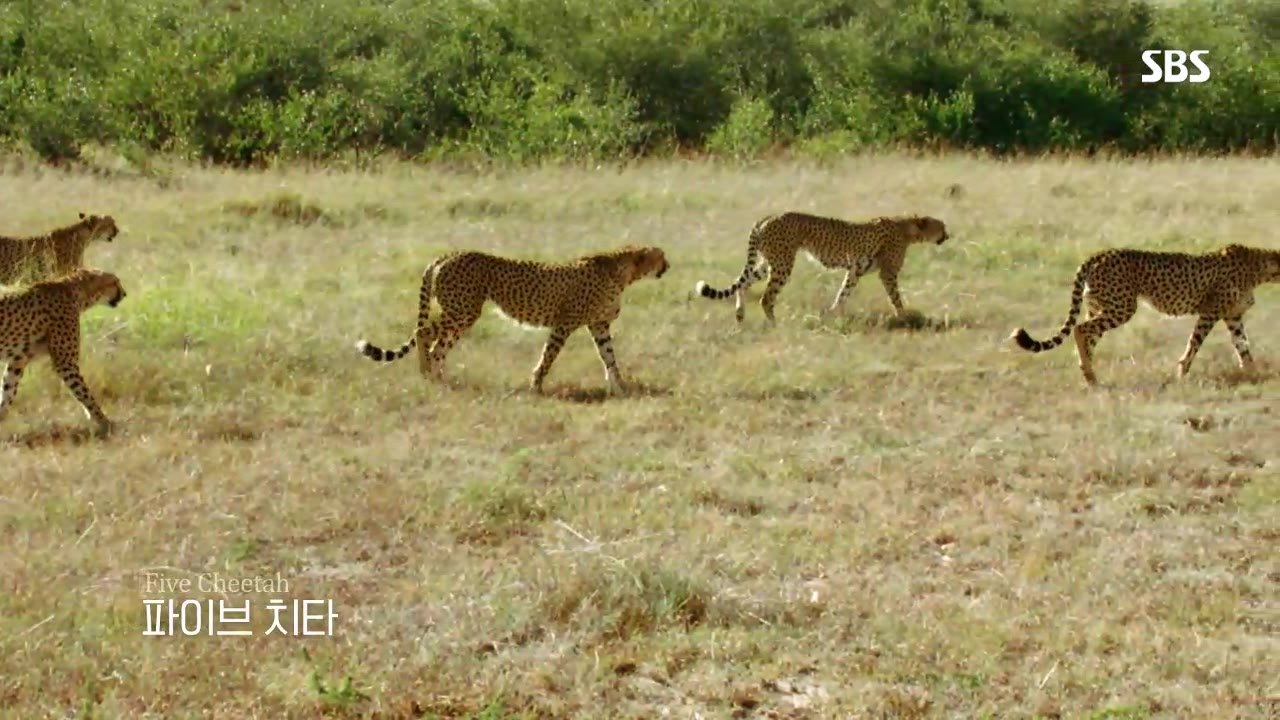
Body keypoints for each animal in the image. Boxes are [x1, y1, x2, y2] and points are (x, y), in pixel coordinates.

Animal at [1, 265, 127, 430]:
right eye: (114, 282)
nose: (125, 294)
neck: (76, 293)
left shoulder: (17, 361)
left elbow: (7, 390)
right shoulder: (66, 363)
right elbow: (85, 394)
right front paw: (105, 423)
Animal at [350, 244, 670, 392]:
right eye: (661, 256)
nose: (668, 266)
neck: (622, 270)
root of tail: (447, 255)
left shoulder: (599, 325)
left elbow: (609, 357)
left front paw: (620, 386)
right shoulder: (564, 324)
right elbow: (548, 356)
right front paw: (536, 385)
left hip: (461, 314)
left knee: (438, 346)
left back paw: (444, 379)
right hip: (463, 310)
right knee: (424, 334)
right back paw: (427, 374)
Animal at [691, 210, 952, 322]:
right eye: (941, 226)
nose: (947, 236)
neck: (907, 227)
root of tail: (768, 216)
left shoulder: (854, 270)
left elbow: (844, 293)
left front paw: (834, 313)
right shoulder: (887, 273)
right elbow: (895, 297)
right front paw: (904, 316)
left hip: (769, 262)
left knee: (743, 283)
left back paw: (740, 314)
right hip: (783, 264)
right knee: (766, 297)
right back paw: (774, 324)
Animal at [1008, 243, 1280, 384]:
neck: (1259, 266)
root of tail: (1100, 253)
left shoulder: (1233, 317)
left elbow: (1243, 347)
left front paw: (1254, 373)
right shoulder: (1210, 313)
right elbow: (1195, 343)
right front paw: (1182, 372)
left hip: (1099, 306)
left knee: (1087, 335)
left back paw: (1089, 375)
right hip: (1122, 307)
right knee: (1080, 329)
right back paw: (1090, 374)